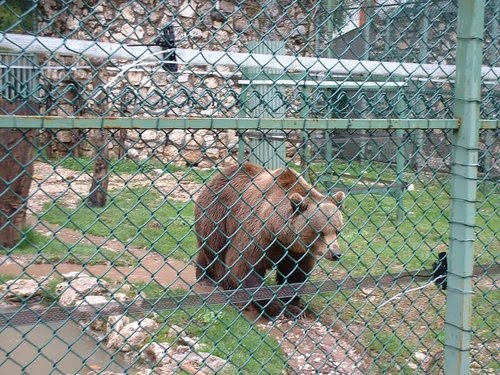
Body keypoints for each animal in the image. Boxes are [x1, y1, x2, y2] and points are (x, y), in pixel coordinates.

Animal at [193, 163, 346, 318]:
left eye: (337, 231)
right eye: (321, 233)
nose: (336, 254)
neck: (279, 234)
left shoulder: (297, 251)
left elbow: (295, 273)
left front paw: (294, 307)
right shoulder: (258, 234)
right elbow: (246, 266)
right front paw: (273, 306)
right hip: (218, 215)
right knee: (216, 251)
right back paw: (220, 284)